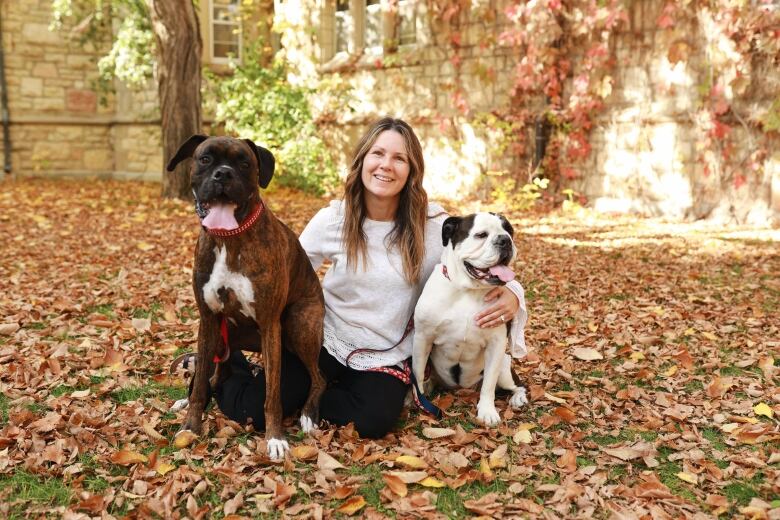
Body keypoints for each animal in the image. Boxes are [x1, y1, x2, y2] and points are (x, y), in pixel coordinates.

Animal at [168, 134, 326, 460]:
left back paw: (308, 415)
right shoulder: (207, 320)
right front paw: (191, 426)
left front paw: (275, 438)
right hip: (220, 337)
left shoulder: (269, 325)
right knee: (217, 375)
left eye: (243, 163)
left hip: (298, 324)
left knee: (319, 378)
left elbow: (272, 394)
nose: (223, 174)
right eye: (205, 159)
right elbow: (200, 385)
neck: (228, 240)